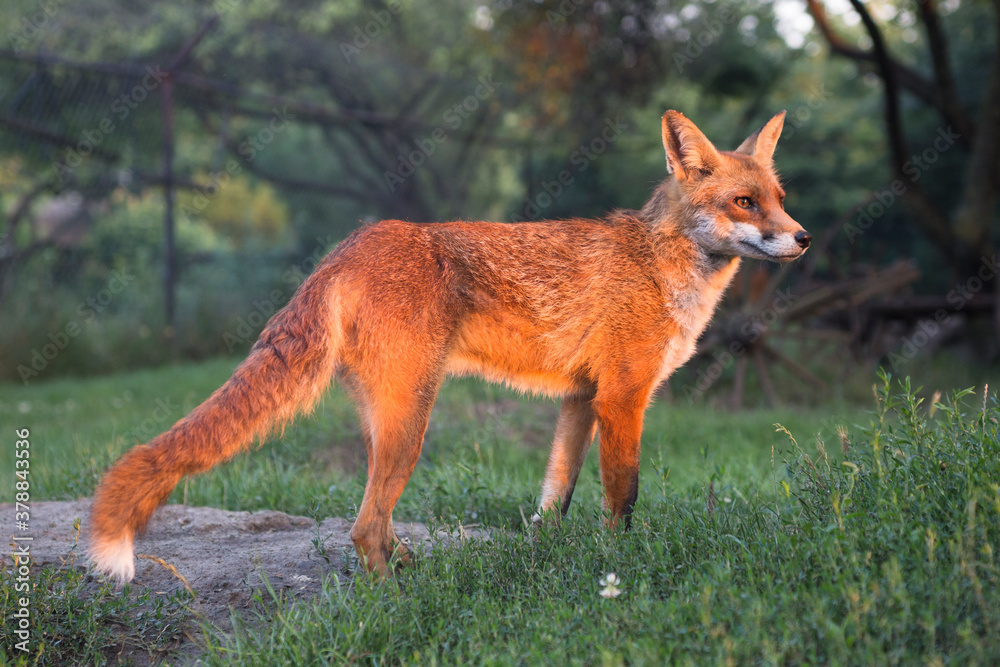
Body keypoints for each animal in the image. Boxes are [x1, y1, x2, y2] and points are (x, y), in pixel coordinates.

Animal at [89, 110, 810, 582]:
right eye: (744, 203)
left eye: (779, 198)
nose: (802, 238)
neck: (663, 267)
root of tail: (349, 245)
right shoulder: (622, 398)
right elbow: (622, 499)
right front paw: (620, 568)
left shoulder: (580, 400)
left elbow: (554, 500)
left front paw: (547, 561)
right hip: (413, 419)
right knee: (363, 528)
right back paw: (392, 599)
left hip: (388, 420)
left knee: (375, 521)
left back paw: (406, 567)